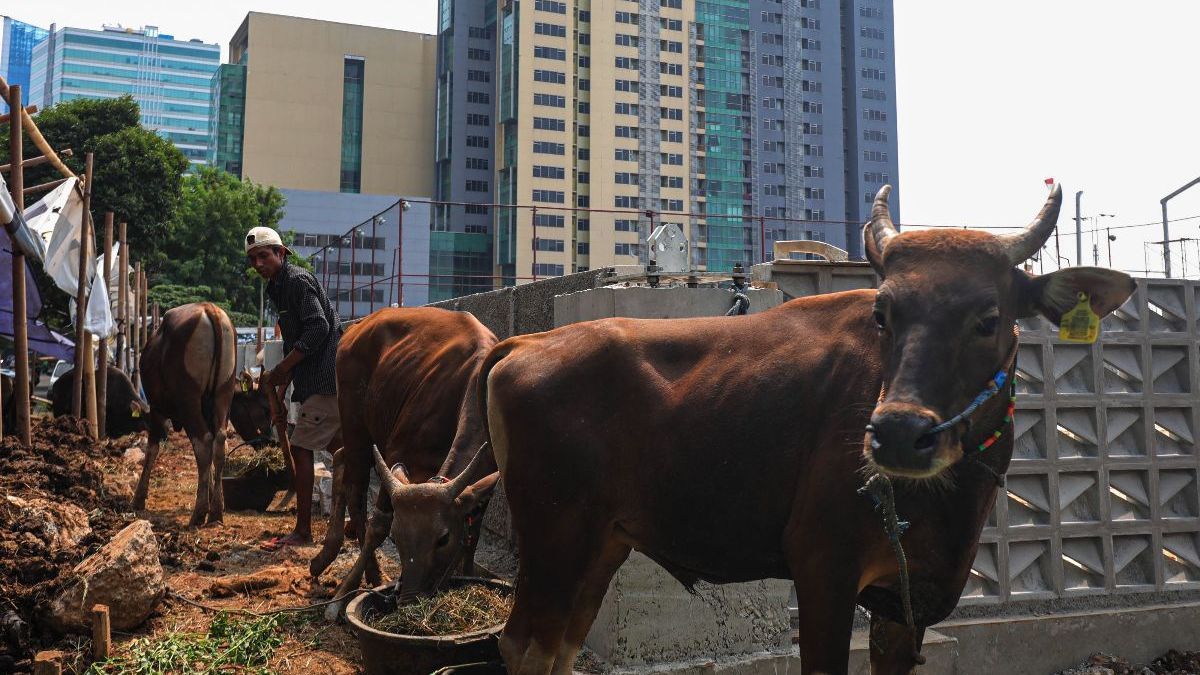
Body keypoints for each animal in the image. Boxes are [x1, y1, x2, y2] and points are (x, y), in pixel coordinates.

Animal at [135, 299, 237, 526]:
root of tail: (209, 309)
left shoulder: (156, 409)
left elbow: (152, 449)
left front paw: (139, 497)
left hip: (188, 398)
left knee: (203, 441)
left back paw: (199, 512)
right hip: (224, 394)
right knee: (219, 442)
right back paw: (216, 510)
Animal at [309, 307, 501, 619]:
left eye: (443, 538)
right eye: (396, 539)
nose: (409, 599)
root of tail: (356, 329)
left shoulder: (484, 482)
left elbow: (472, 536)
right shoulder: (395, 455)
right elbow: (378, 525)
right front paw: (340, 597)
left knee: (339, 458)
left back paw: (327, 556)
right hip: (355, 424)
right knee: (356, 493)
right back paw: (368, 573)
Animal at [477, 184, 1132, 672]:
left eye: (989, 318)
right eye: (881, 313)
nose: (898, 433)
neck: (946, 501)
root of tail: (526, 342)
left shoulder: (905, 603)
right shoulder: (824, 570)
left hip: (601, 544)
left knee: (560, 649)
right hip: (554, 536)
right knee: (523, 648)